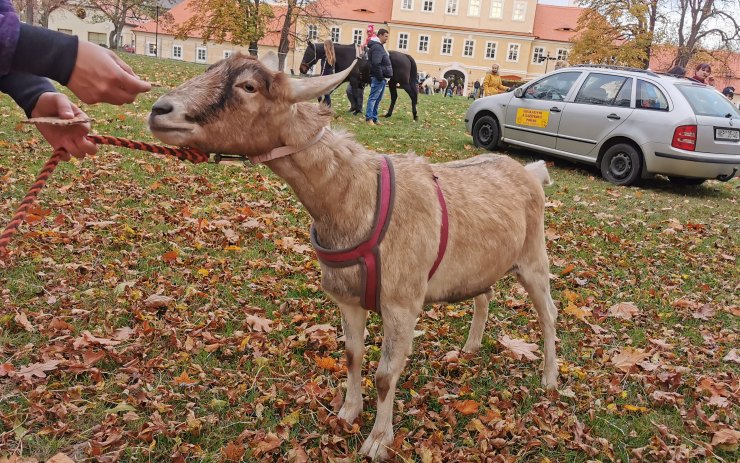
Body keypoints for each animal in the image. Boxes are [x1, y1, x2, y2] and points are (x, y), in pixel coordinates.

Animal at [147, 53, 556, 460]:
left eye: (248, 86)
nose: (159, 110)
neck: (358, 196)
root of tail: (531, 173)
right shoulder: (347, 297)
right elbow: (352, 355)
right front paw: (348, 411)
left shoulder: (402, 302)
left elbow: (386, 375)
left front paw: (378, 440)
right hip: (480, 265)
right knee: (485, 294)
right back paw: (469, 349)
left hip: (534, 256)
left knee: (548, 314)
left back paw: (550, 379)